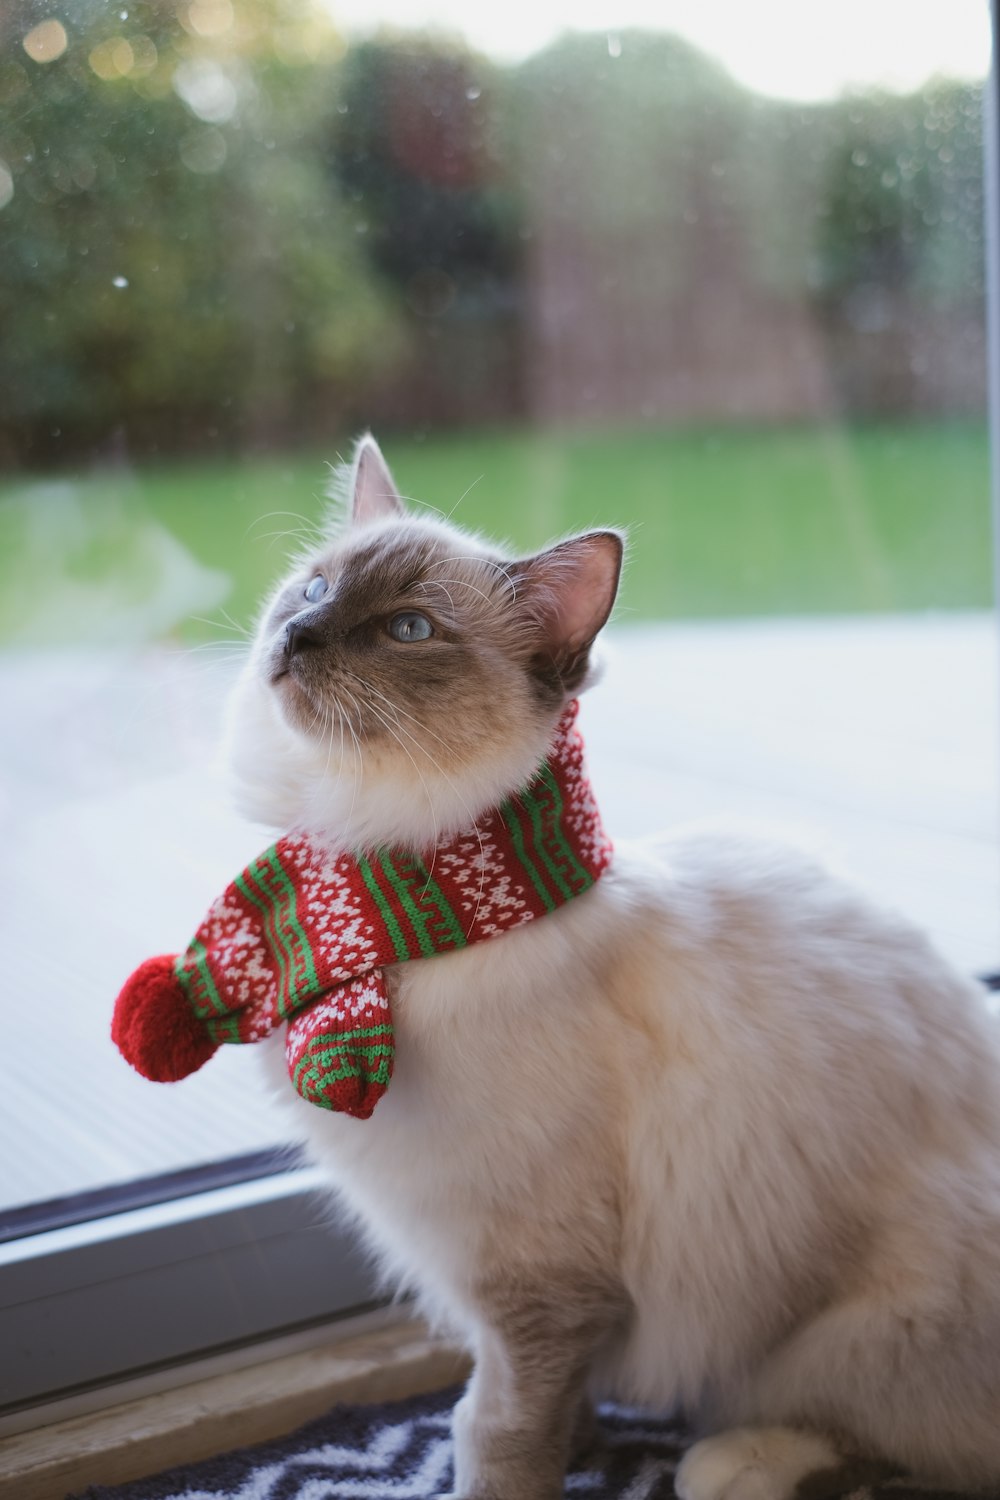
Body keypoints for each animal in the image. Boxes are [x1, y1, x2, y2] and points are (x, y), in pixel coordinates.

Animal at [223, 438, 1000, 1500]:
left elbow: (495, 1425)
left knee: (893, 1445)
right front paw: (586, 1448)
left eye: (406, 628)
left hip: (855, 1333)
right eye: (314, 588)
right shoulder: (529, 1290)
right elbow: (557, 1403)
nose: (298, 634)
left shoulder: (535, 1279)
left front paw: (513, 1477)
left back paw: (732, 1465)